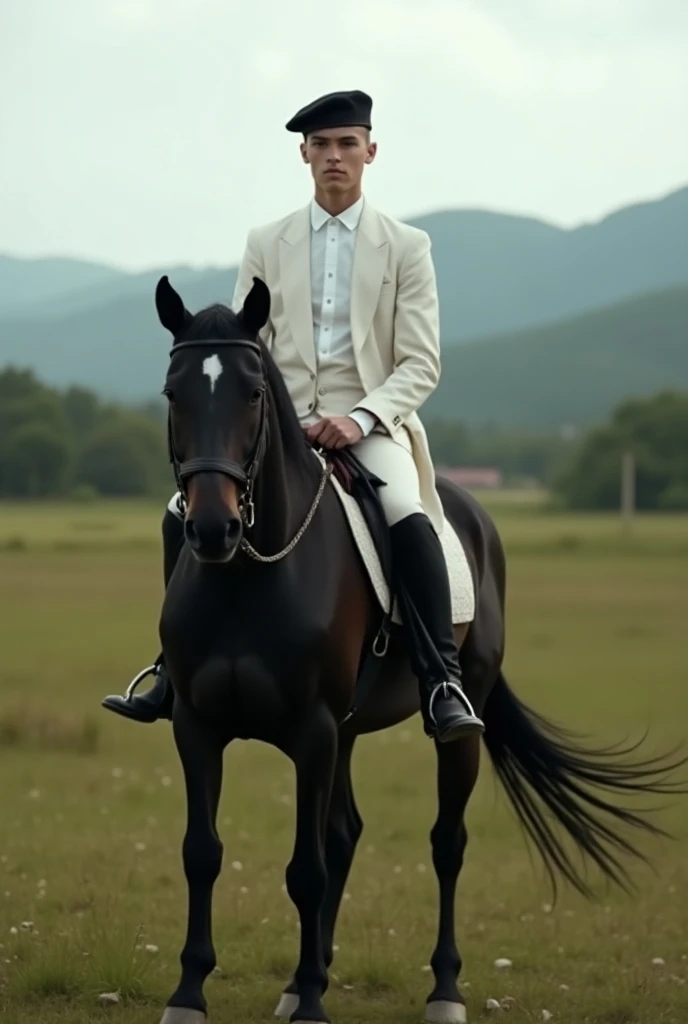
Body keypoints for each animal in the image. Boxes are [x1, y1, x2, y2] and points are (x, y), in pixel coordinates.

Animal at [149, 278, 683, 1024]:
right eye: (173, 393)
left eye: (253, 393)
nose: (211, 528)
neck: (247, 577)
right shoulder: (198, 726)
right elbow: (203, 853)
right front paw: (192, 993)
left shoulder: (312, 731)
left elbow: (305, 869)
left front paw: (312, 1003)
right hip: (345, 732)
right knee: (345, 834)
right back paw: (303, 981)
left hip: (447, 727)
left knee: (445, 844)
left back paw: (442, 990)